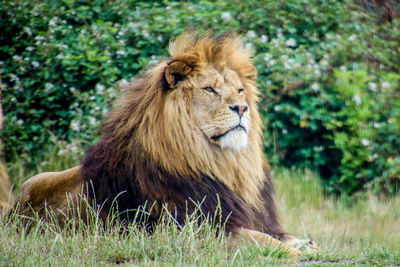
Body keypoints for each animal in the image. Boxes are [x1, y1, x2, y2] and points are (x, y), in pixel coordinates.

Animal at [7, 33, 318, 258]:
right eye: (210, 89)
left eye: (240, 90)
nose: (242, 108)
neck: (222, 164)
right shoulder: (194, 230)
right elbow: (258, 240)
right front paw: (295, 251)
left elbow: (277, 233)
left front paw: (305, 243)